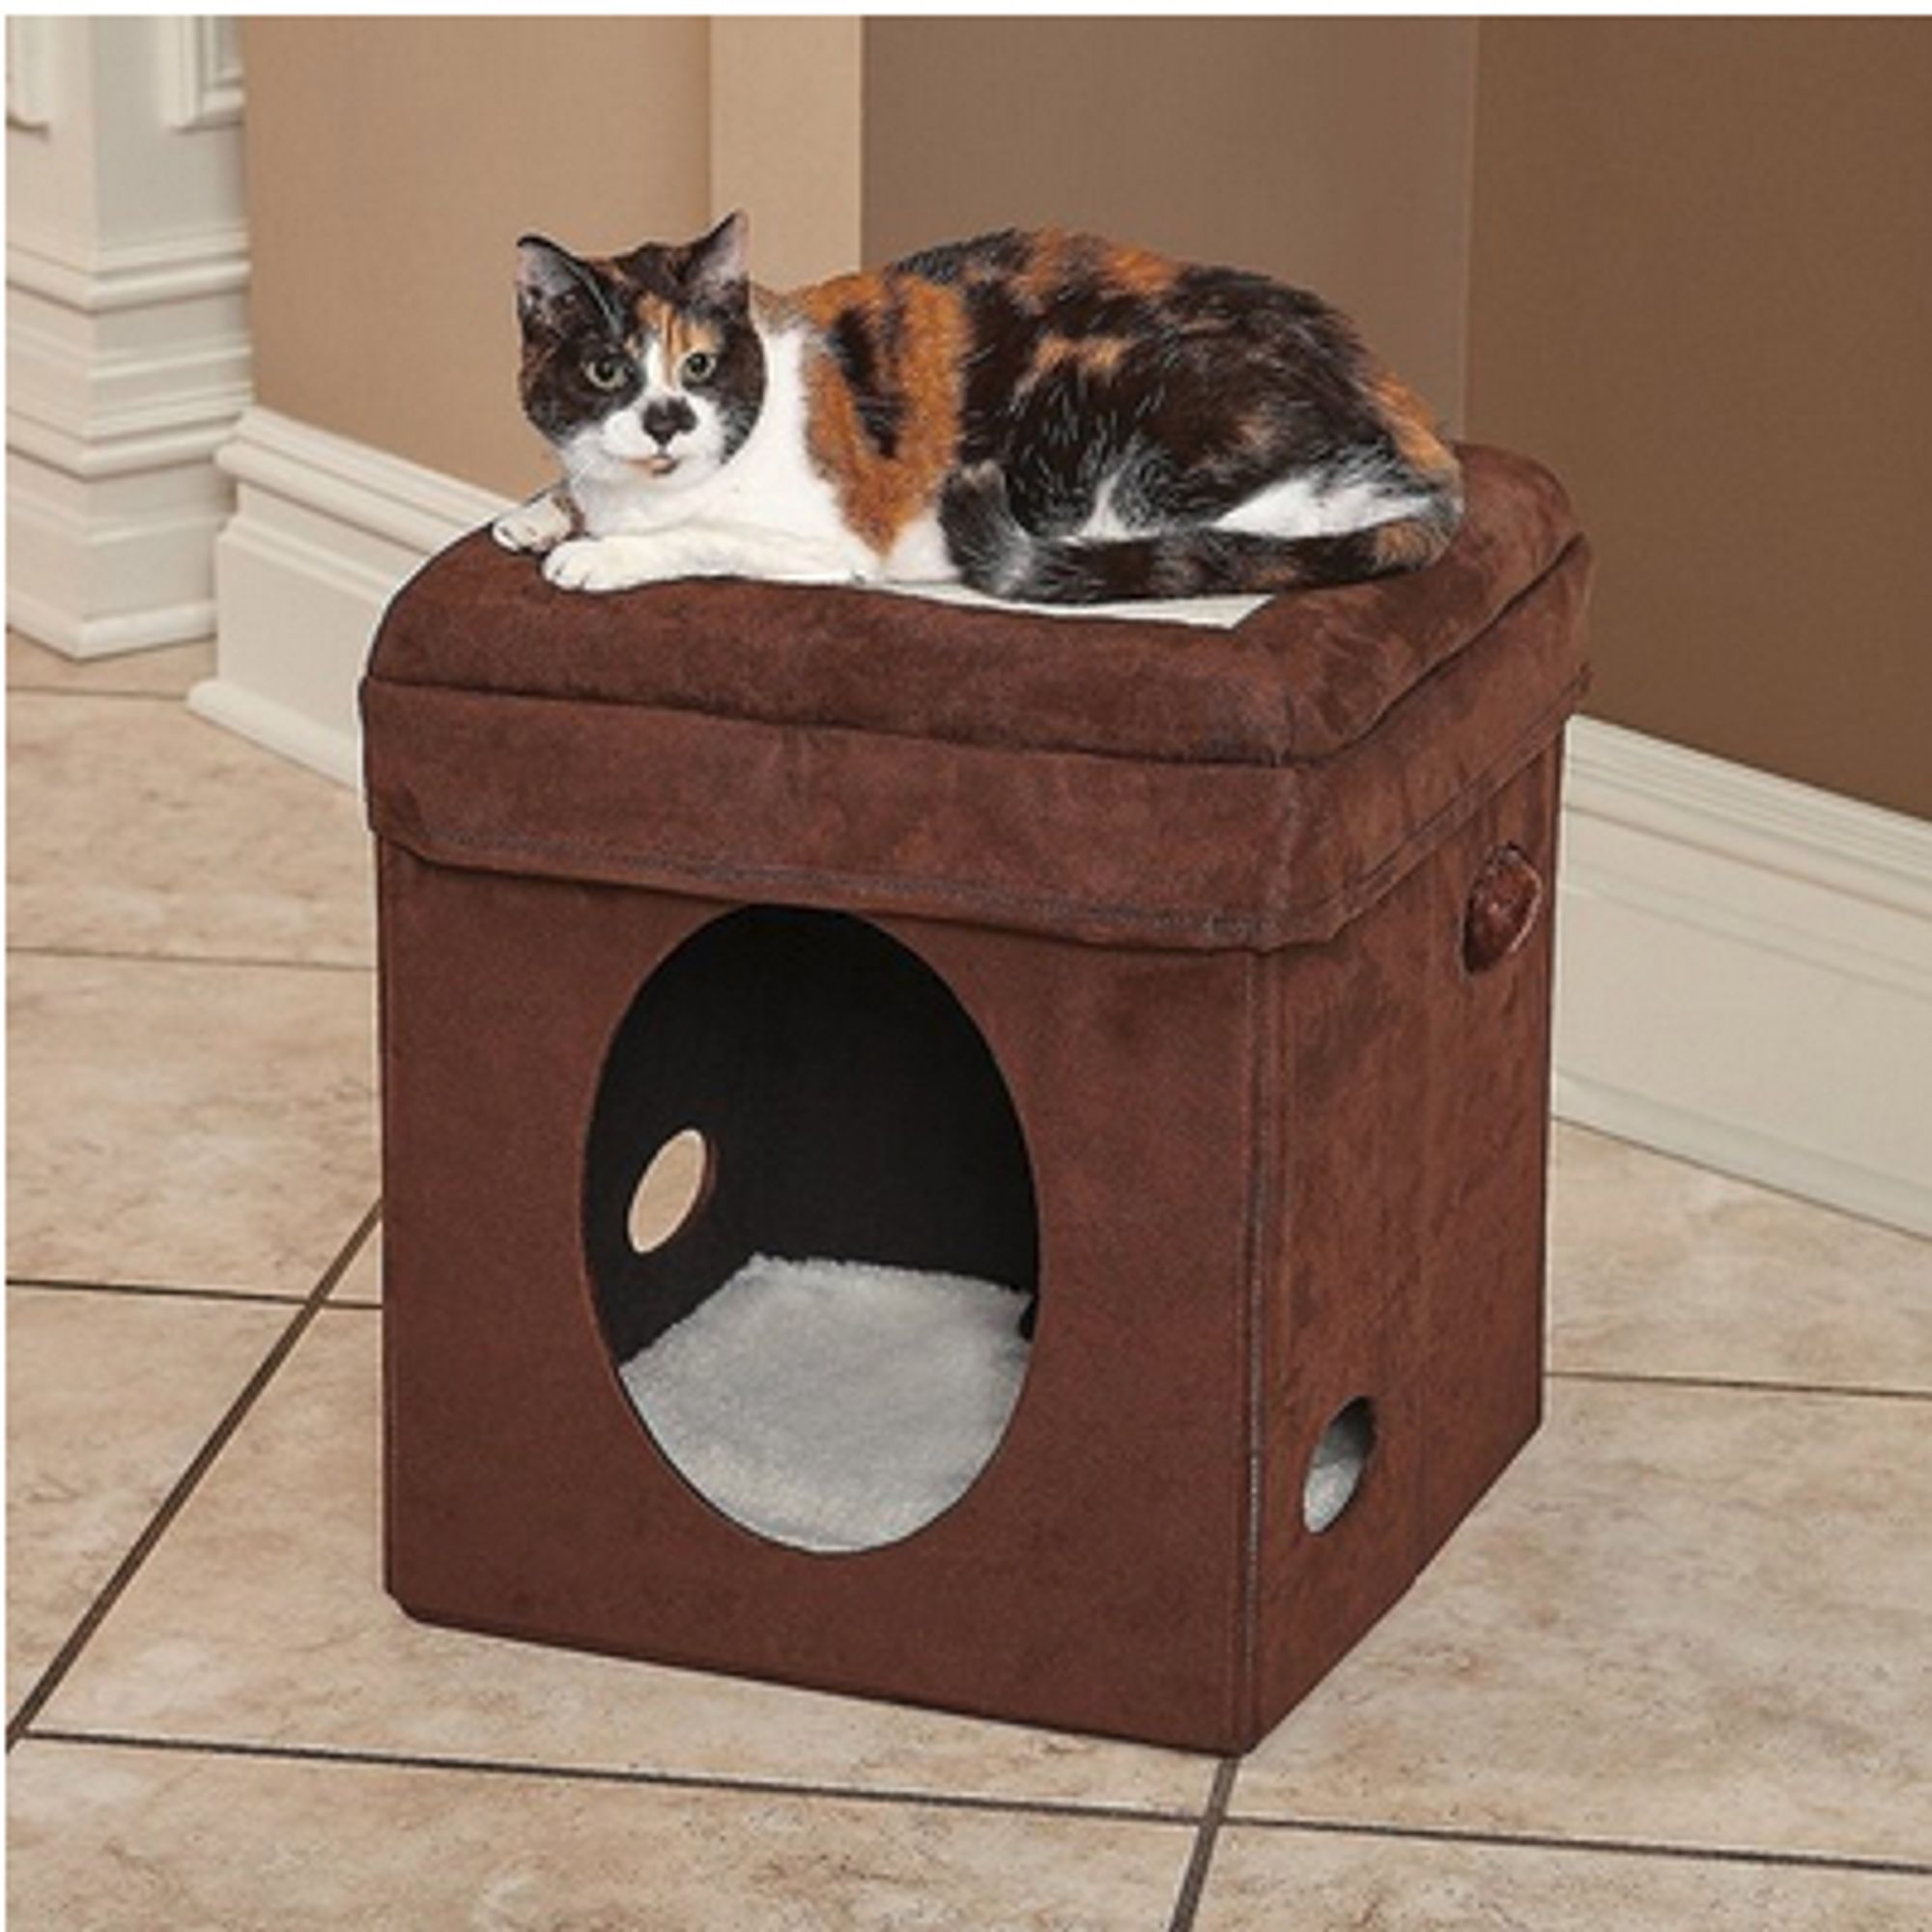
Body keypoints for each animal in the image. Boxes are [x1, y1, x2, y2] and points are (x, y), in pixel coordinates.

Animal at [491, 211, 1453, 603]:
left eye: (699, 364)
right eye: (608, 370)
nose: (668, 419)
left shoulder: (832, 539)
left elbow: (699, 535)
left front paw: (598, 556)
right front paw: (537, 515)